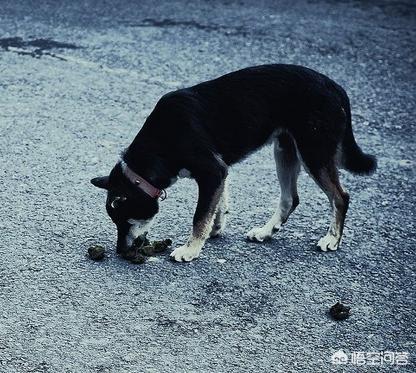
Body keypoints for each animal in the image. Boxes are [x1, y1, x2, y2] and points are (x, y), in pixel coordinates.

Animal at [92, 64, 376, 262]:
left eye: (125, 221)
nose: (120, 251)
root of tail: (335, 87)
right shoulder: (219, 172)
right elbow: (217, 206)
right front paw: (214, 230)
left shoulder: (212, 171)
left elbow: (200, 215)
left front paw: (191, 249)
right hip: (285, 150)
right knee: (290, 199)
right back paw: (265, 232)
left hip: (313, 153)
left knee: (340, 196)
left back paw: (332, 239)